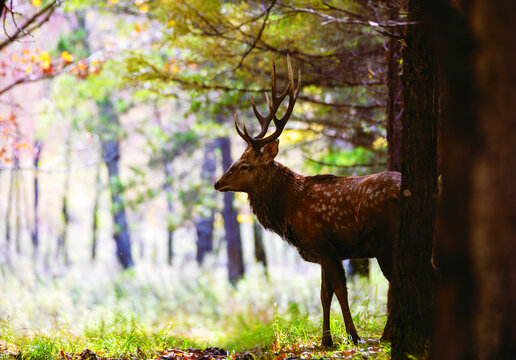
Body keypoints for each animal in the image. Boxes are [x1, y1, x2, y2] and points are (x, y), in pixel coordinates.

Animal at [214, 56, 400, 346]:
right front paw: (326, 340)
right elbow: (324, 296)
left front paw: (352, 336)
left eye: (244, 166)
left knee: (398, 282)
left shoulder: (323, 245)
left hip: (384, 241)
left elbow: (339, 291)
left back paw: (386, 336)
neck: (289, 208)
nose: (218, 183)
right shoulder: (324, 251)